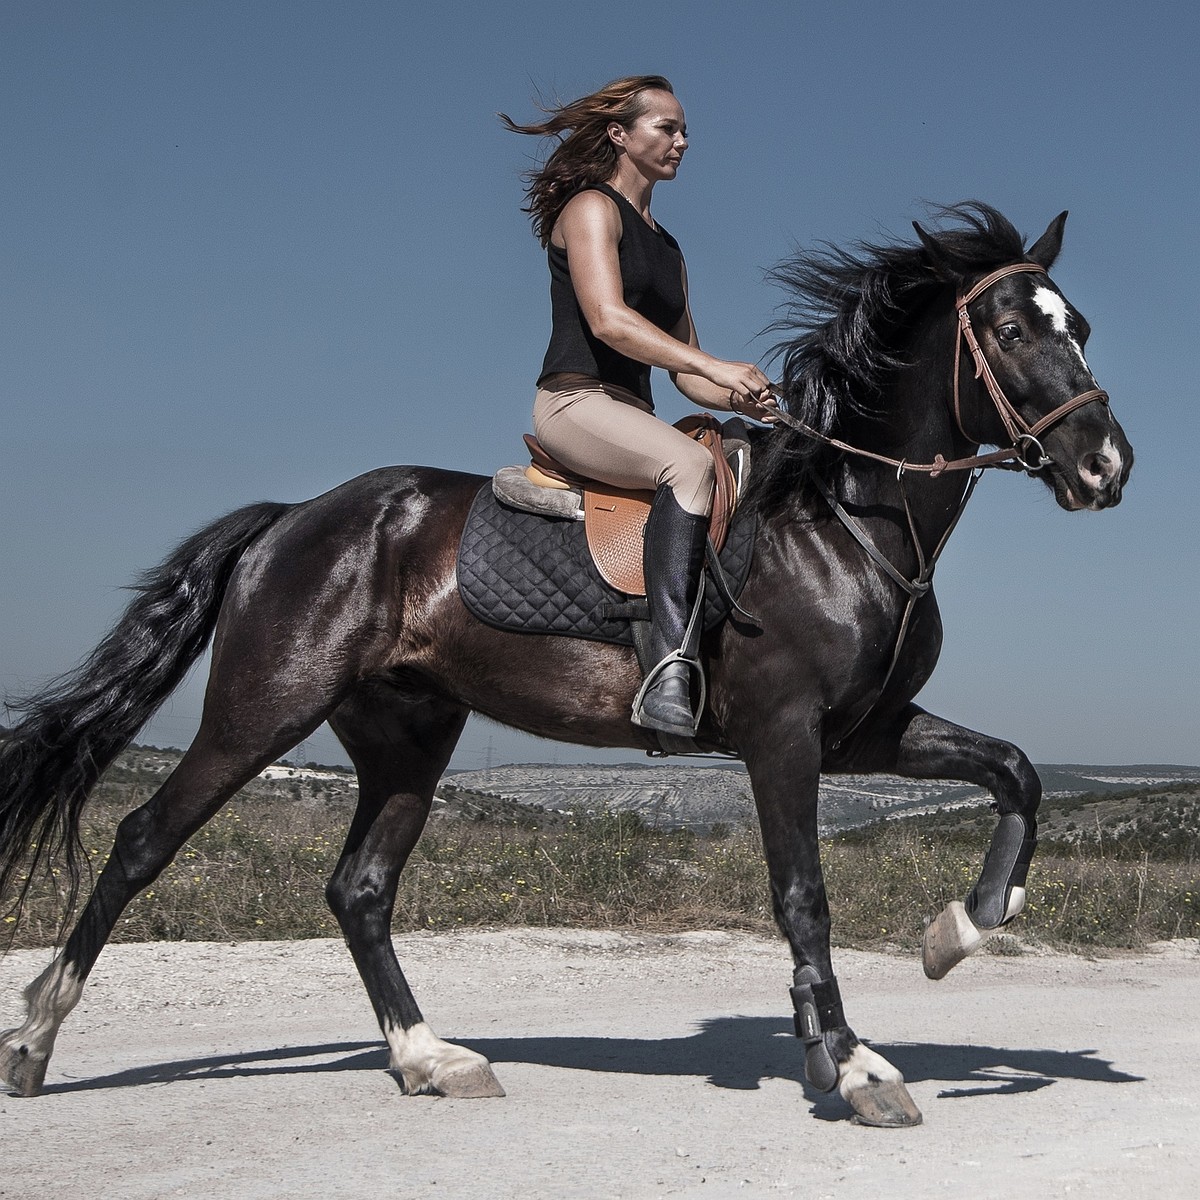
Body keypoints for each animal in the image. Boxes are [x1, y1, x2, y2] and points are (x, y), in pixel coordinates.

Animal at [0, 201, 1128, 1128]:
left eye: (1079, 325)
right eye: (1014, 331)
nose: (1108, 466)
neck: (845, 519)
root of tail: (293, 518)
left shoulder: (864, 732)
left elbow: (1017, 770)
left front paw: (962, 930)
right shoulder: (784, 734)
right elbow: (804, 894)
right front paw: (852, 1067)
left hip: (407, 735)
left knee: (360, 888)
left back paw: (432, 1059)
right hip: (264, 704)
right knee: (144, 841)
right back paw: (35, 1040)